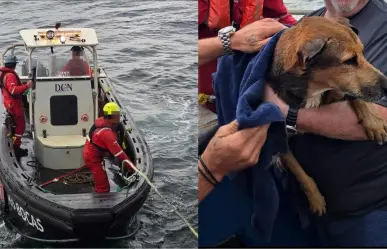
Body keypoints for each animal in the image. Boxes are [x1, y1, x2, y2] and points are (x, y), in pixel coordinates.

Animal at [268, 16, 387, 216]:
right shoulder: (281, 140)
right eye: (349, 60)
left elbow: (355, 96)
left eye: (362, 52)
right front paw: (316, 199)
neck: (313, 89)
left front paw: (373, 122)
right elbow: (300, 172)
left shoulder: (337, 90)